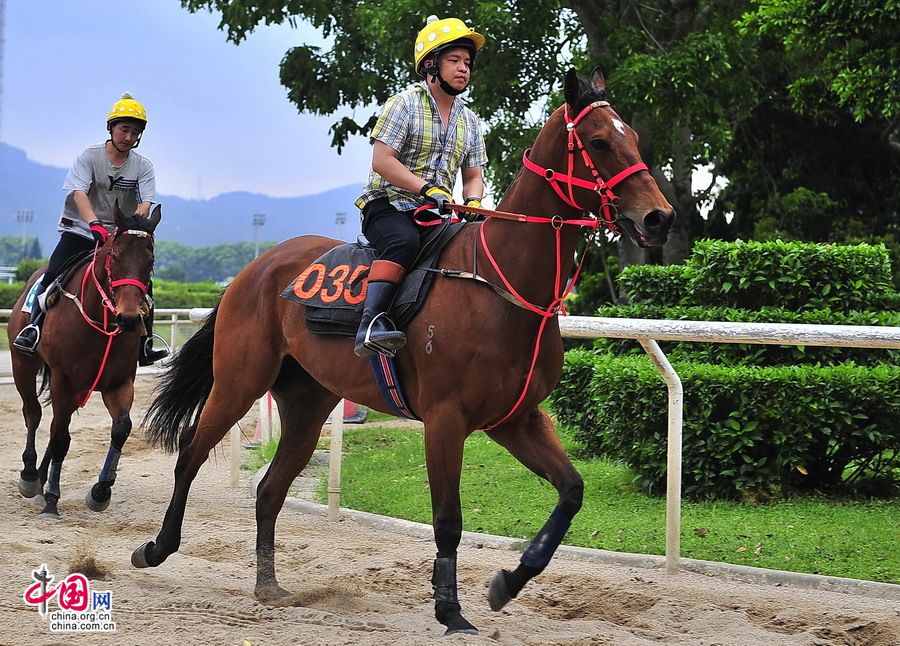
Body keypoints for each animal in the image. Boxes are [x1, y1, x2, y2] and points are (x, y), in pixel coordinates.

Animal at [8, 208, 162, 520]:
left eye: (150, 260)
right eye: (114, 255)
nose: (129, 318)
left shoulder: (119, 382)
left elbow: (121, 428)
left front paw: (101, 491)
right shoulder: (62, 378)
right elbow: (60, 438)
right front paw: (52, 501)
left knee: (56, 422)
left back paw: (41, 477)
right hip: (23, 365)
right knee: (34, 413)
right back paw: (30, 476)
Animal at [130, 68, 672, 636]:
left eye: (633, 137)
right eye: (599, 142)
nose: (660, 218)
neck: (501, 286)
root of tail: (255, 268)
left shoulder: (516, 418)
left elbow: (572, 491)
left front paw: (507, 582)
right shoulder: (445, 419)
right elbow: (448, 520)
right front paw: (451, 610)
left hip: (307, 404)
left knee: (270, 488)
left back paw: (268, 584)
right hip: (239, 381)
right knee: (190, 454)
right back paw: (155, 549)